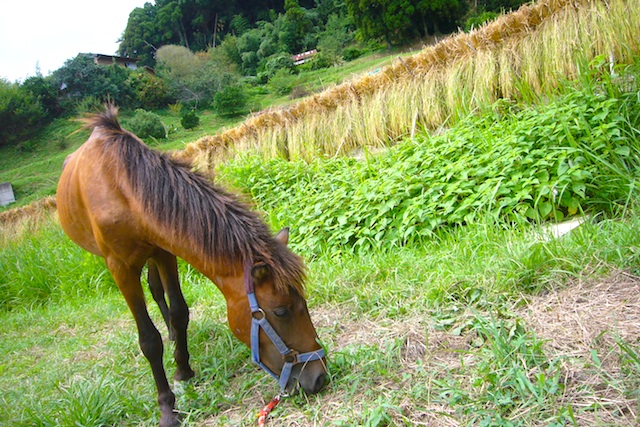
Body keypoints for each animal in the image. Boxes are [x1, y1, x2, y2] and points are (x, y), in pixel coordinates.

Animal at [57, 105, 328, 426]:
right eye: (281, 311)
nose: (320, 376)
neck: (121, 189)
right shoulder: (120, 268)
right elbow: (149, 340)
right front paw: (167, 407)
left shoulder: (165, 250)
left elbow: (178, 312)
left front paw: (183, 369)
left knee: (157, 290)